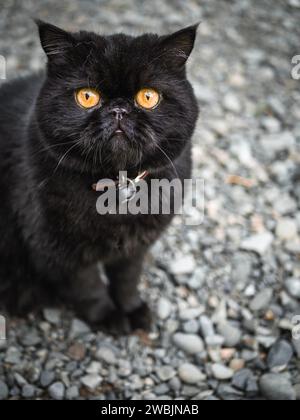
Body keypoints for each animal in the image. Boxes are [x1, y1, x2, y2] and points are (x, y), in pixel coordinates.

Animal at [0, 21, 199, 334]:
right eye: (87, 96)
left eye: (148, 97)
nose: (118, 109)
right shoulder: (56, 249)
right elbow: (88, 286)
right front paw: (108, 317)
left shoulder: (136, 246)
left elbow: (127, 278)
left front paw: (132, 309)